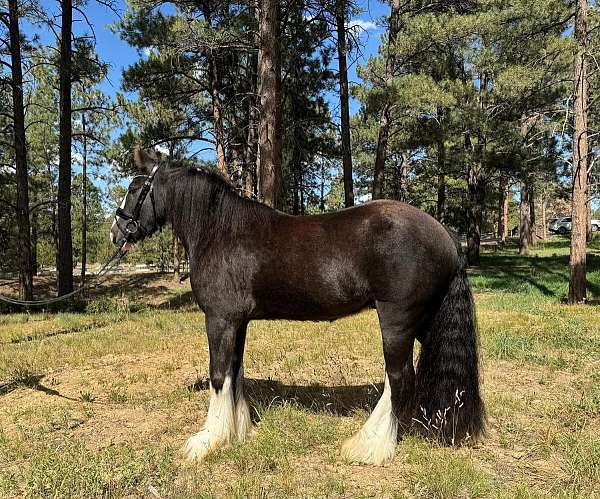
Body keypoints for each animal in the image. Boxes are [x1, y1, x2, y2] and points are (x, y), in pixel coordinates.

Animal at [110, 146, 486, 466]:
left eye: (135, 188)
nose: (116, 232)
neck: (220, 231)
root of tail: (446, 235)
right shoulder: (238, 321)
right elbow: (235, 370)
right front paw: (239, 429)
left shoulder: (219, 319)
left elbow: (219, 374)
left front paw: (208, 440)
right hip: (424, 322)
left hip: (397, 321)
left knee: (399, 378)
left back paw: (370, 445)